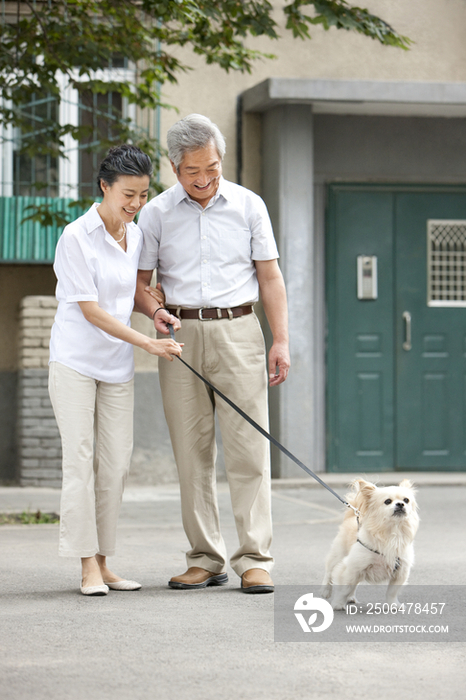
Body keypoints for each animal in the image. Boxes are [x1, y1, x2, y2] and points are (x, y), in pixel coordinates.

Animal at [320, 478, 418, 608]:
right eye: (387, 501)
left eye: (406, 500)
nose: (401, 504)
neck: (393, 532)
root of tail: (353, 514)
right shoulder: (351, 567)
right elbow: (344, 588)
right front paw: (338, 603)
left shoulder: (400, 572)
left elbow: (392, 592)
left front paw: (393, 604)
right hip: (338, 555)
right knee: (329, 572)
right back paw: (325, 591)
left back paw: (350, 597)